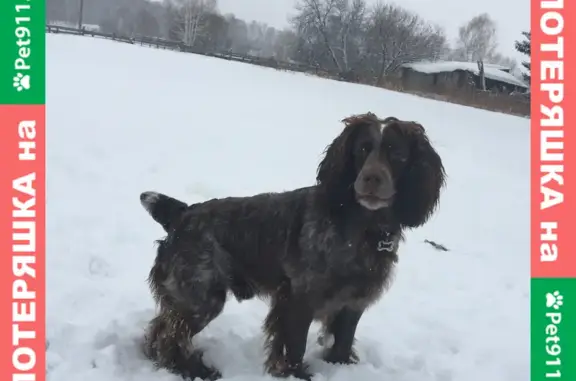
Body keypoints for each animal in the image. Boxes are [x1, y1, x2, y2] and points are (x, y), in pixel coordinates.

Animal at [138, 113, 446, 380]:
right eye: (362, 149)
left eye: (397, 154)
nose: (372, 179)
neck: (363, 229)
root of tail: (182, 213)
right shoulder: (299, 298)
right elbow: (294, 347)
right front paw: (296, 375)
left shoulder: (353, 301)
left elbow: (343, 343)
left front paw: (339, 367)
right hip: (201, 295)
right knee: (170, 336)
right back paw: (195, 370)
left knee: (159, 330)